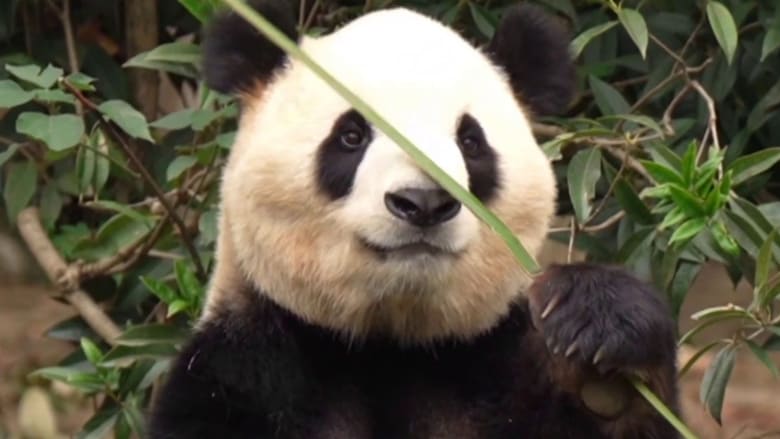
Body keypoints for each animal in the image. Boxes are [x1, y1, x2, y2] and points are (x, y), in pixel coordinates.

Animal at [148, 1, 679, 438]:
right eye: (351, 135)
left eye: (471, 141)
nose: (423, 202)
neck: (389, 347)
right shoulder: (242, 375)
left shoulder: (497, 367)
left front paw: (598, 344)